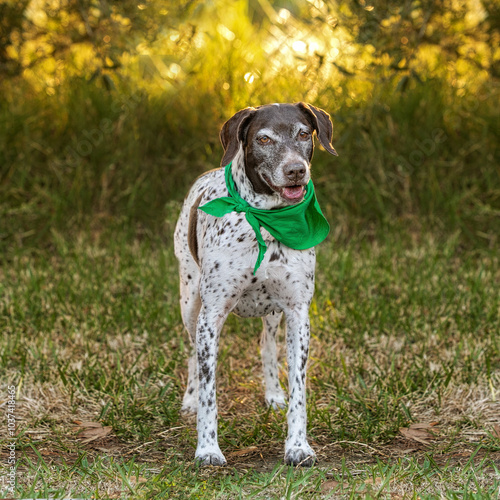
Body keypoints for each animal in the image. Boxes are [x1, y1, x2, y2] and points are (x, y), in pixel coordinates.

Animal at [174, 102, 338, 468]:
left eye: (303, 134)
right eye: (263, 139)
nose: (296, 171)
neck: (266, 221)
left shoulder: (298, 313)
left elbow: (298, 390)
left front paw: (298, 446)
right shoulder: (211, 316)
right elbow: (209, 392)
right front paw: (207, 449)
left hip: (274, 314)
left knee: (267, 345)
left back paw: (273, 392)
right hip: (190, 301)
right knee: (191, 353)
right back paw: (188, 398)